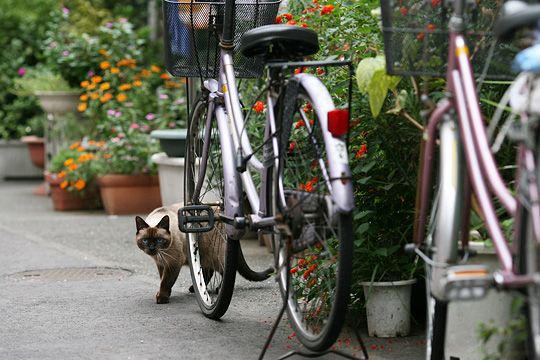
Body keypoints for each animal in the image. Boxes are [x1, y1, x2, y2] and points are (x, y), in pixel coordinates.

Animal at [135, 202, 270, 304]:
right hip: (202, 255)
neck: (160, 255)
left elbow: (166, 282)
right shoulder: (161, 264)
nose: (152, 248)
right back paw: (195, 288)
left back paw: (218, 289)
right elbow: (162, 279)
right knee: (208, 270)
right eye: (145, 240)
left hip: (214, 254)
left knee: (223, 270)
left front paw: (162, 298)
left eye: (159, 240)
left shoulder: (173, 263)